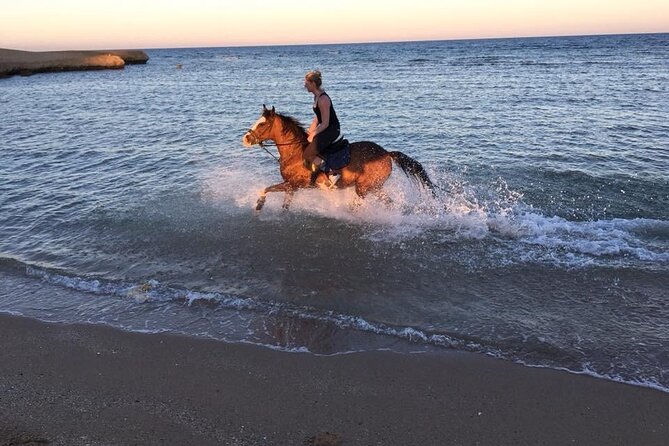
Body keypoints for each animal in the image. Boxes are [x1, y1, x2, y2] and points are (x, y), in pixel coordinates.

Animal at [242, 105, 435, 211]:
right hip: (374, 187)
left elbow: (267, 189)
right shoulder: (291, 188)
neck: (294, 153)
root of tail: (386, 153)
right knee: (389, 203)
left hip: (364, 187)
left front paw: (259, 204)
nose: (246, 138)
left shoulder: (293, 184)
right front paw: (260, 205)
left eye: (262, 124)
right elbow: (278, 201)